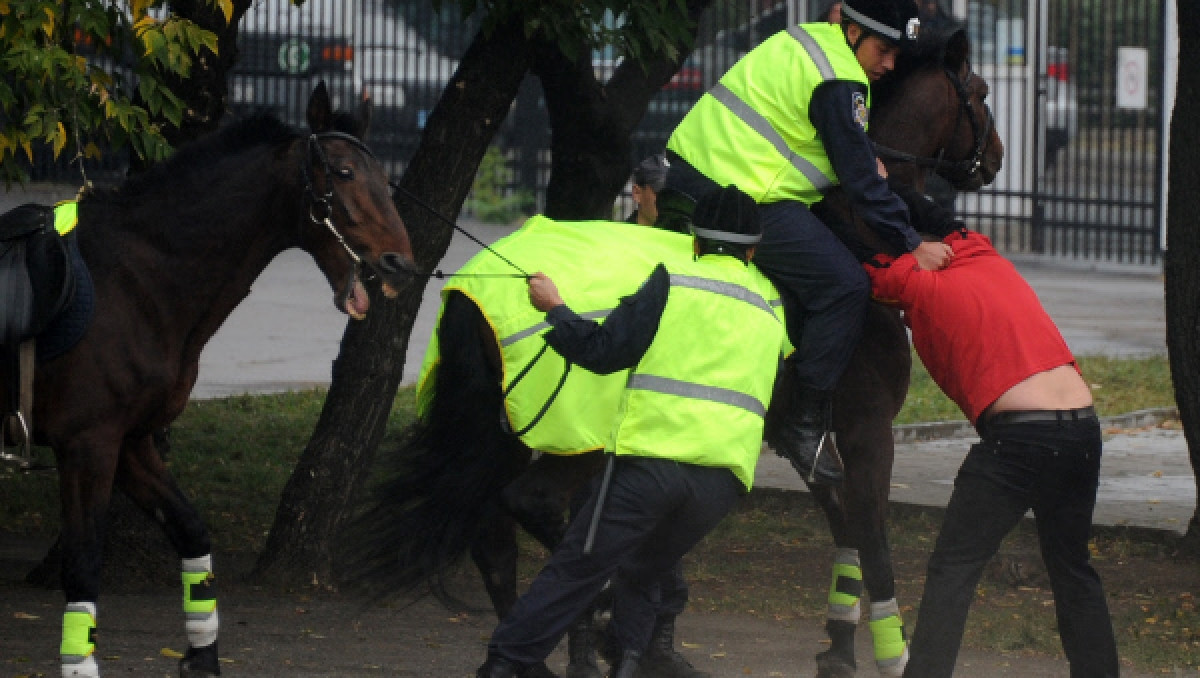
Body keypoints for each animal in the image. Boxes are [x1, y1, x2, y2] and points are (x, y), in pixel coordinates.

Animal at [1, 82, 417, 672]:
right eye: (342, 172)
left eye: (384, 177)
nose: (401, 262)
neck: (130, 279)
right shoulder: (87, 446)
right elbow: (82, 569)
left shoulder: (131, 443)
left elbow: (192, 532)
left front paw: (202, 656)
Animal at [350, 26, 1003, 676]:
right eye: (981, 91)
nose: (995, 158)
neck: (857, 240)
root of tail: (488, 281)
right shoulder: (868, 430)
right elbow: (873, 539)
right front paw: (894, 651)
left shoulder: (815, 443)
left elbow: (845, 527)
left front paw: (840, 642)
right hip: (580, 436)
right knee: (533, 506)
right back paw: (603, 610)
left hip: (508, 430)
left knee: (493, 537)